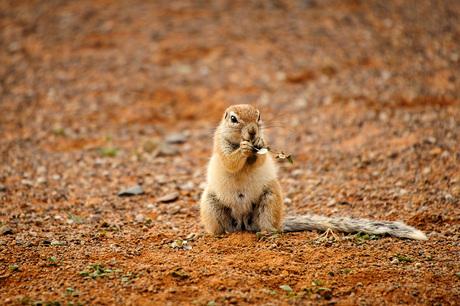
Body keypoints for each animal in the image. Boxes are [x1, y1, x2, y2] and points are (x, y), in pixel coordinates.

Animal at [200, 104, 428, 240]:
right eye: (233, 119)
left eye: (259, 115)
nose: (253, 132)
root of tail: (243, 224)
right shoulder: (220, 146)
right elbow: (230, 161)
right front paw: (244, 148)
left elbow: (261, 159)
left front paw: (260, 143)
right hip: (211, 204)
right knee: (220, 229)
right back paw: (216, 235)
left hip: (270, 200)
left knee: (268, 227)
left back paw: (266, 233)